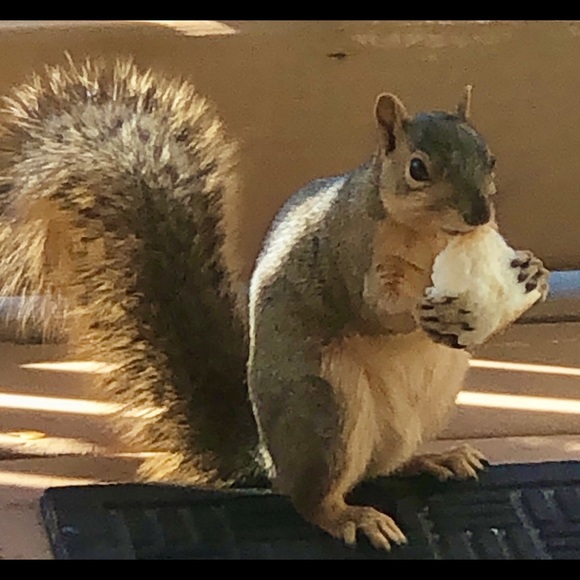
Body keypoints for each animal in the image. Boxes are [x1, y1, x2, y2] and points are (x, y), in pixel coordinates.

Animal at [0, 56, 549, 550]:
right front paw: (419, 309)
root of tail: (271, 459)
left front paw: (533, 271)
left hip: (425, 406)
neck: (433, 238)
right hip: (326, 409)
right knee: (312, 499)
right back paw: (351, 517)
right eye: (418, 168)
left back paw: (434, 459)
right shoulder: (350, 248)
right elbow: (372, 305)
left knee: (380, 468)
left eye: (490, 158)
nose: (479, 214)